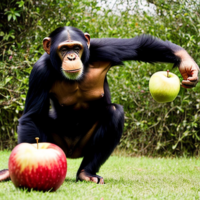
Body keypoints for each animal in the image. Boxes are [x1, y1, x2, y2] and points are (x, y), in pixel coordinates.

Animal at [0, 27, 198, 184]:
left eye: (76, 48)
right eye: (63, 49)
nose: (71, 57)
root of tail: (71, 151)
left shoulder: (103, 48)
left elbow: (139, 47)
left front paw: (187, 63)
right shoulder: (39, 72)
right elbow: (32, 116)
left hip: (84, 146)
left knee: (114, 112)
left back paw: (86, 173)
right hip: (58, 144)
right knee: (39, 120)